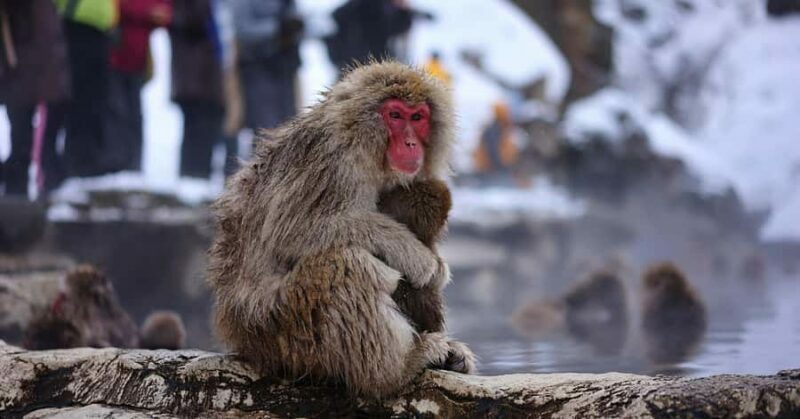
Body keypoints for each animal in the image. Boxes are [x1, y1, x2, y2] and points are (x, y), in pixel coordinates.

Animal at [208, 61, 475, 399]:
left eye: (418, 117)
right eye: (395, 115)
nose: (411, 143)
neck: (365, 147)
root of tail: (241, 339)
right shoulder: (330, 161)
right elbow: (293, 232)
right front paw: (415, 255)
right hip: (283, 330)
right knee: (346, 264)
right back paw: (395, 370)